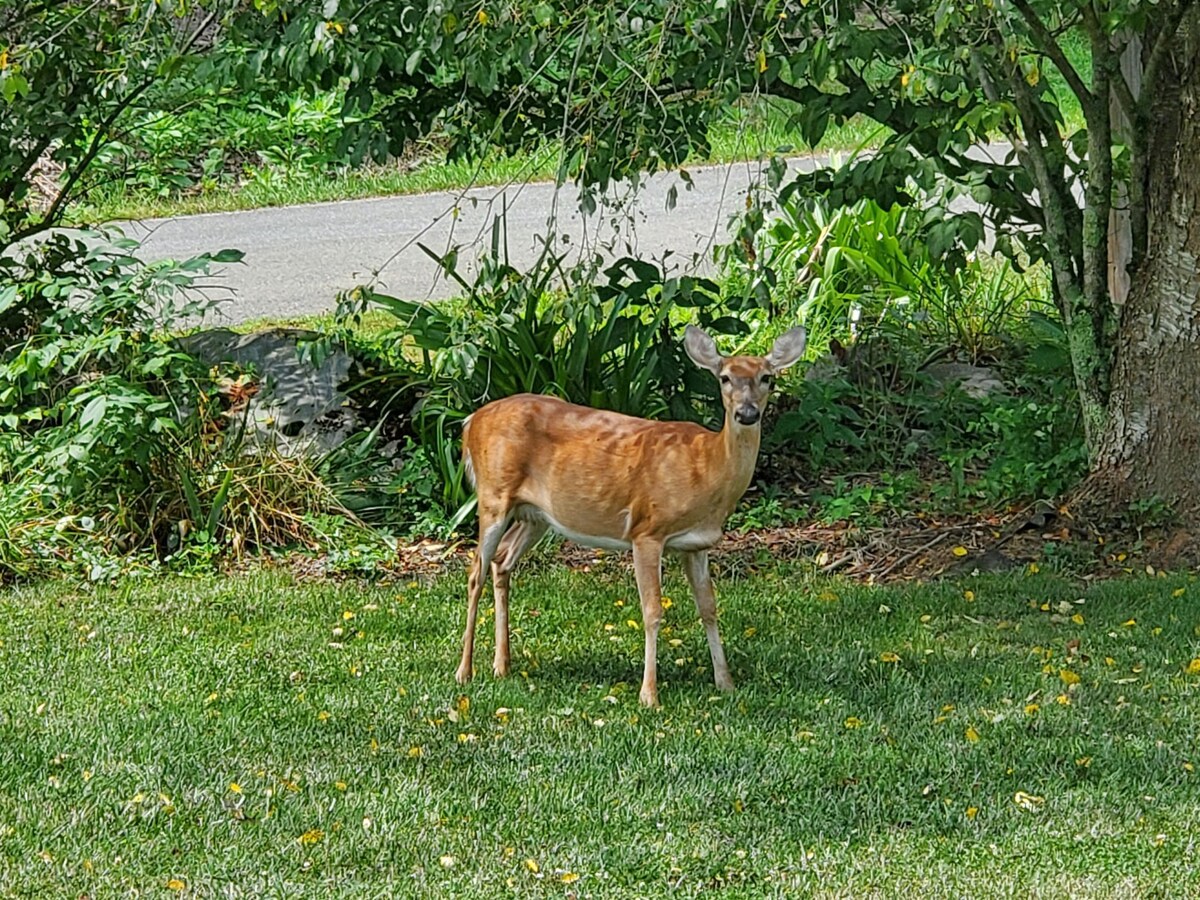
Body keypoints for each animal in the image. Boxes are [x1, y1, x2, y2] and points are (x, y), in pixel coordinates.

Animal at [456, 328, 806, 710]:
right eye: (725, 377)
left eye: (767, 378)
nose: (747, 413)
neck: (706, 469)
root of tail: (470, 422)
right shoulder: (647, 530)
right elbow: (652, 611)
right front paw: (649, 695)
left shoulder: (697, 544)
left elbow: (709, 607)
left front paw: (725, 683)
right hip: (493, 494)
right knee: (475, 571)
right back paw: (465, 671)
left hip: (535, 515)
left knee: (502, 561)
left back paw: (502, 665)